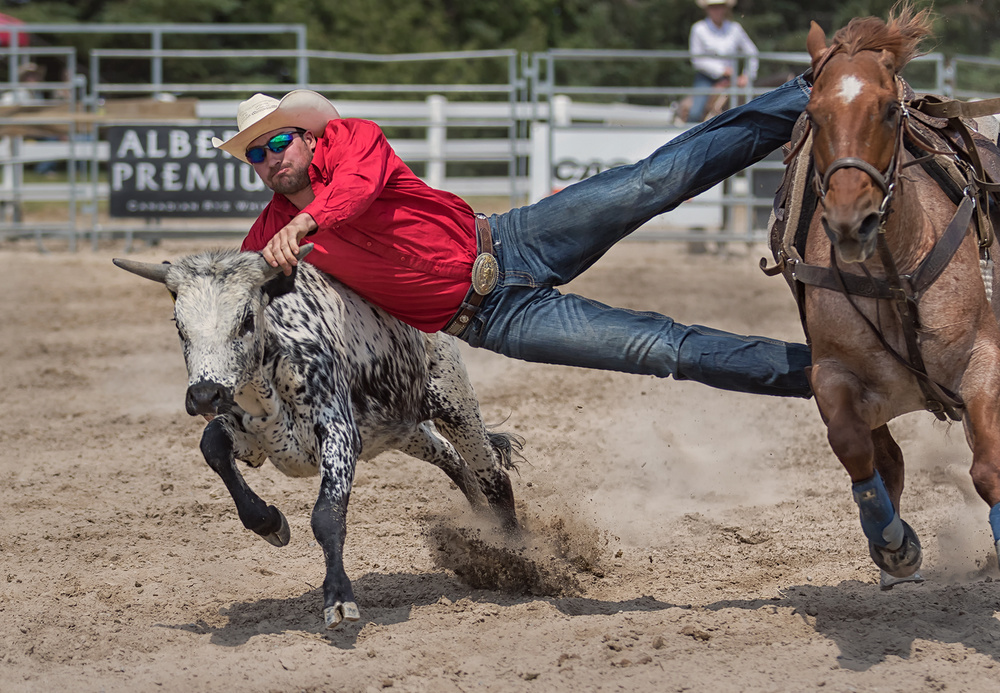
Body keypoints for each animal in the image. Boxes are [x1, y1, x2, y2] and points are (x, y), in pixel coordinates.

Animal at [784, 5, 1000, 588]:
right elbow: (856, 447)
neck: (894, 270)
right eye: (814, 113)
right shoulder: (833, 372)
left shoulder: (984, 360)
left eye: (885, 110)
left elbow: (988, 469)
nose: (850, 222)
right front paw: (893, 544)